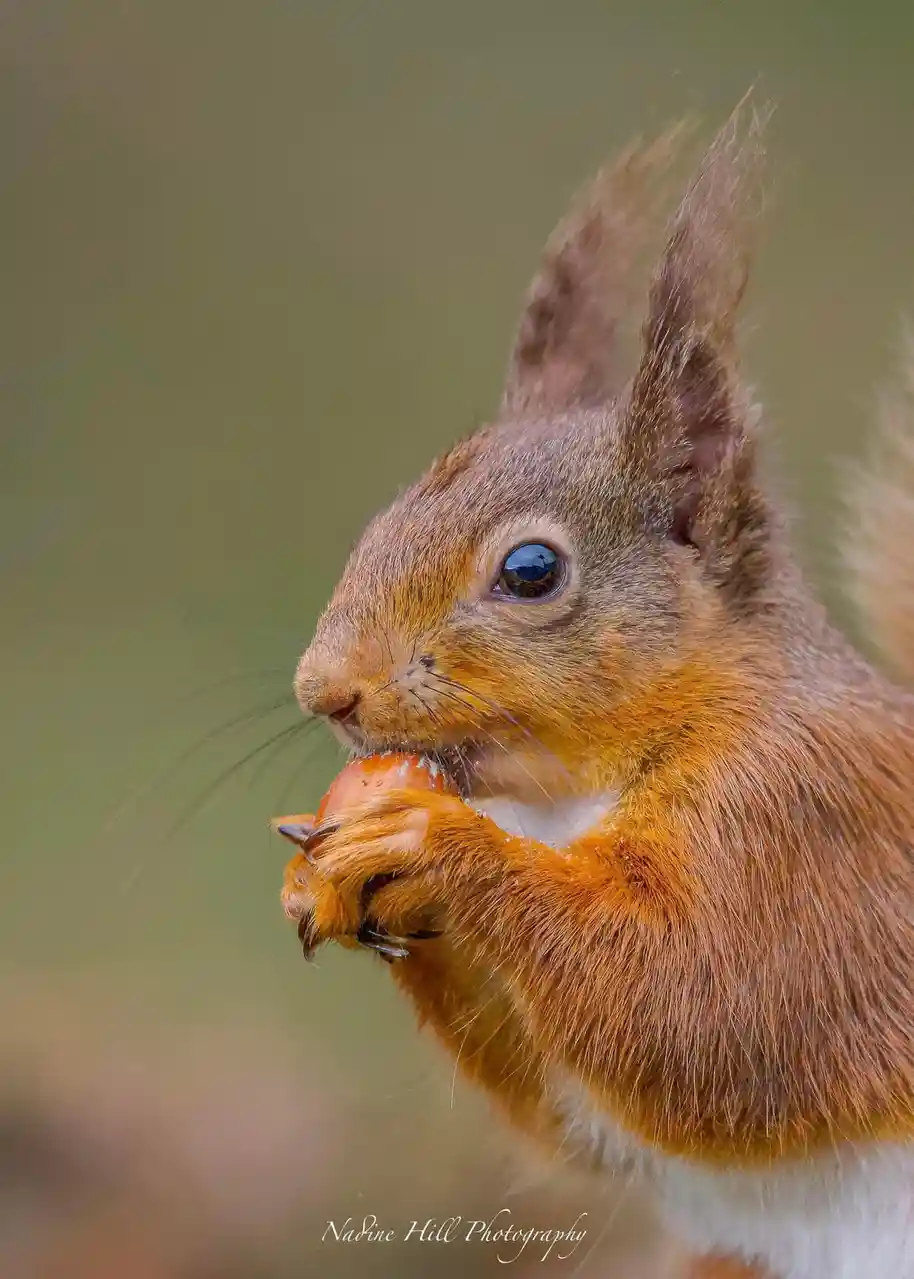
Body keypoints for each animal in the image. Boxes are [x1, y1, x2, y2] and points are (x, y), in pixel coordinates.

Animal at [281, 106, 914, 1279]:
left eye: (531, 572)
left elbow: (703, 1013)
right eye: (384, 514)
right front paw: (330, 878)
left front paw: (432, 845)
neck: (566, 795)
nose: (323, 692)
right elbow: (571, 1109)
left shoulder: (803, 826)